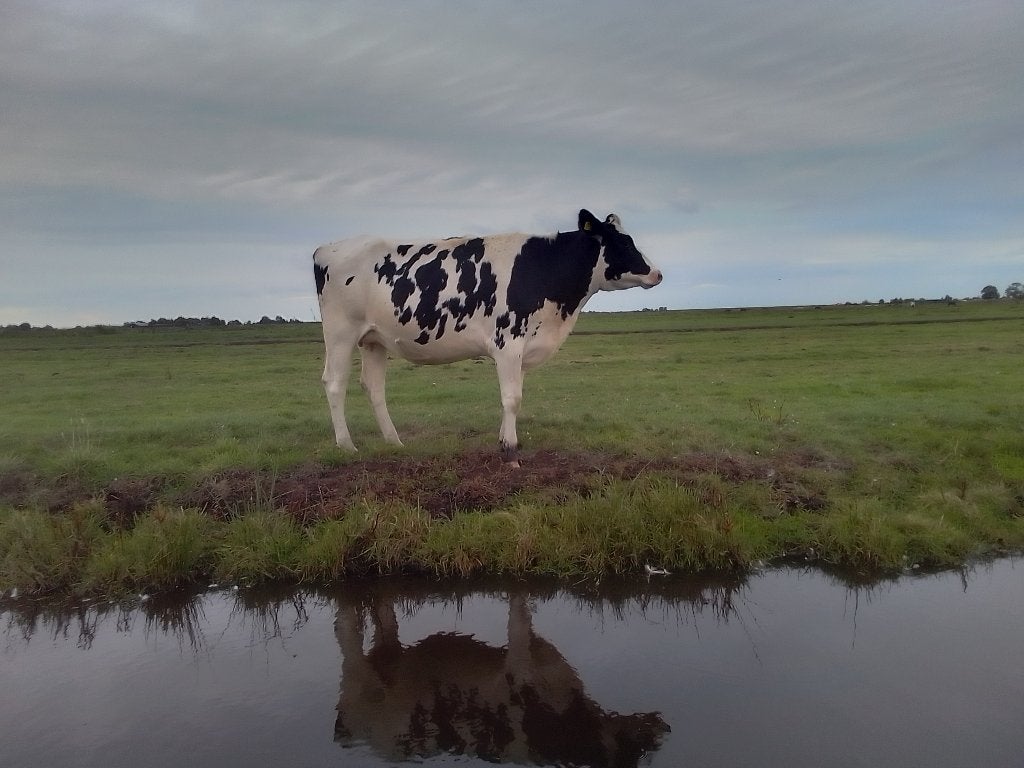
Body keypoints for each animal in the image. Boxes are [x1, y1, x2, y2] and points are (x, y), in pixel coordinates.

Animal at [313, 209, 662, 464]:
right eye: (623, 243)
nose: (657, 274)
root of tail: (326, 247)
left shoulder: (521, 349)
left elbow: (513, 396)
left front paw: (503, 441)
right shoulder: (508, 341)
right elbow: (512, 398)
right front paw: (511, 451)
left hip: (373, 339)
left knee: (373, 386)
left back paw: (394, 441)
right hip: (341, 333)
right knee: (334, 383)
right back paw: (346, 445)